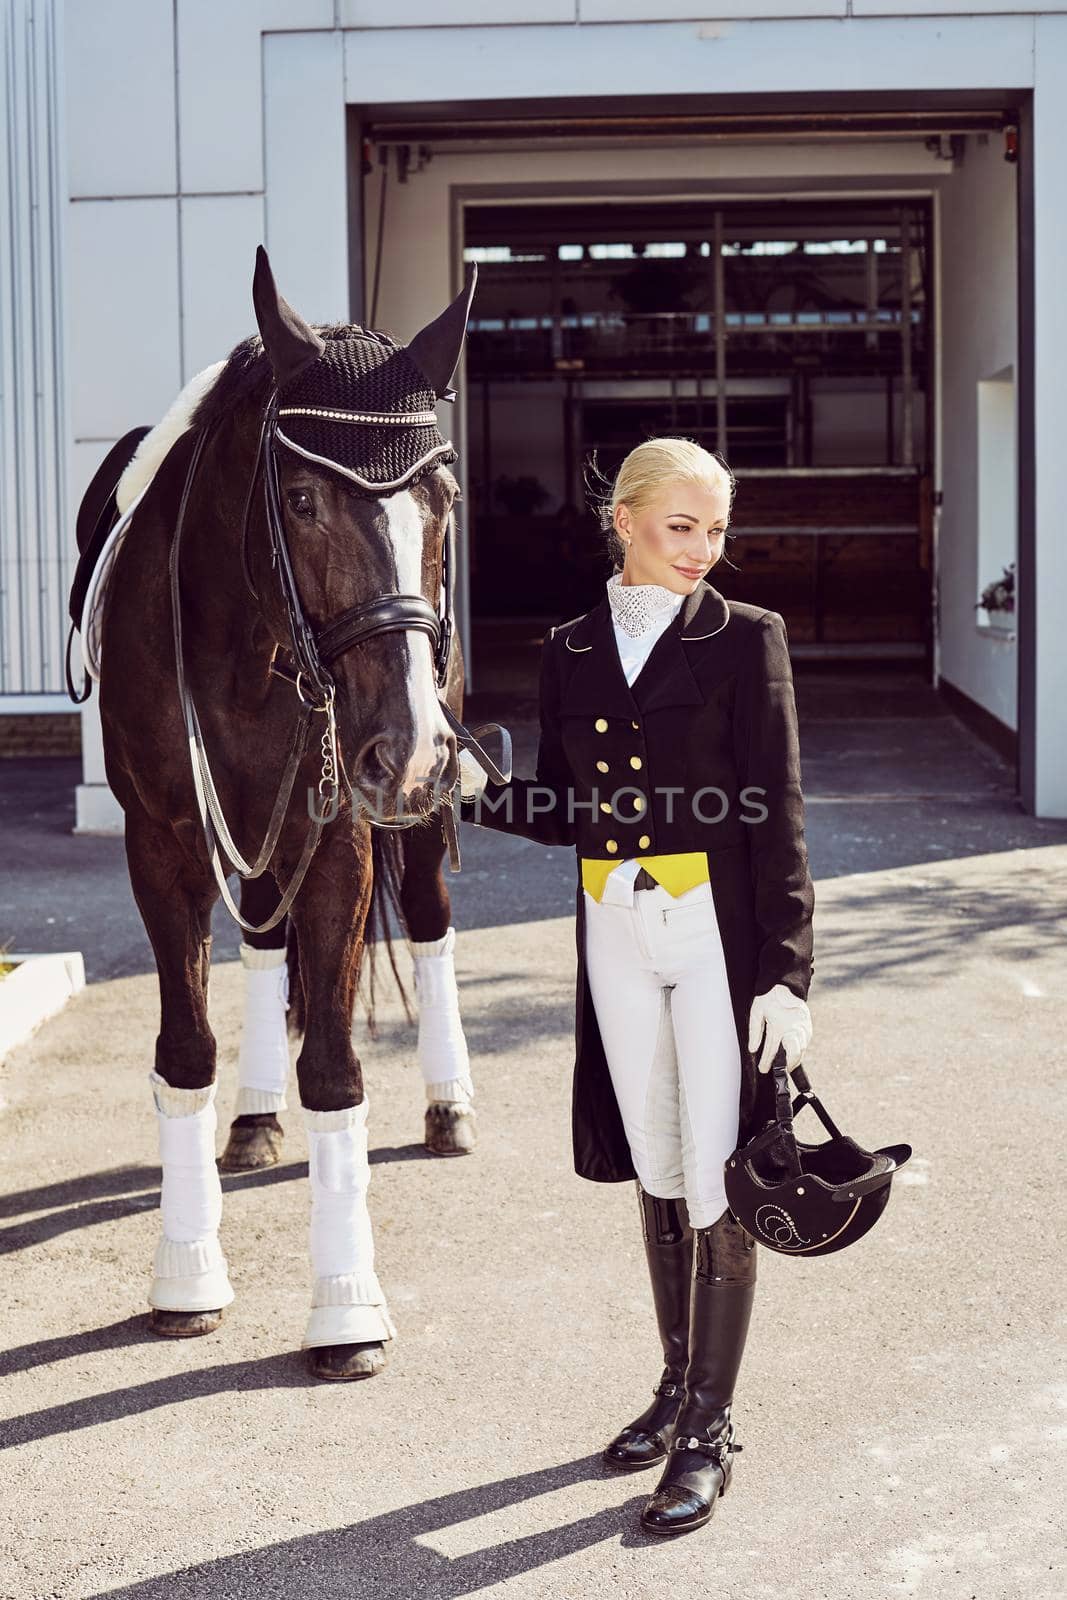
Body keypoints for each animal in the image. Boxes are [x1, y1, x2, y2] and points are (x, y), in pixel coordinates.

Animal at [93, 246, 486, 1376]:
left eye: (442, 493)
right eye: (303, 498)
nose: (405, 748)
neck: (251, 640)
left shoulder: (343, 834)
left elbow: (337, 1068)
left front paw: (347, 1307)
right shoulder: (161, 841)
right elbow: (185, 1049)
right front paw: (185, 1276)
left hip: (410, 819)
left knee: (431, 924)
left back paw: (447, 1103)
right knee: (266, 944)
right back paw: (256, 1118)